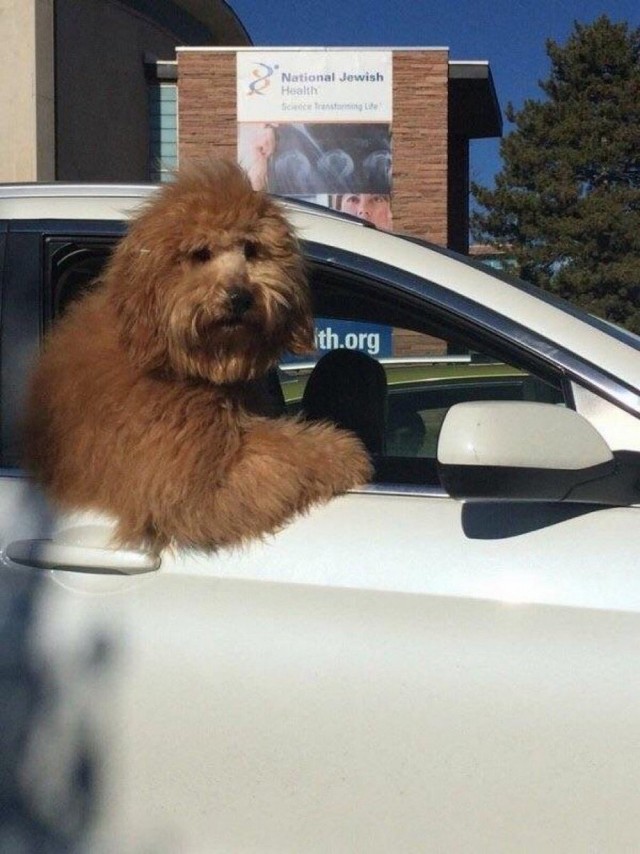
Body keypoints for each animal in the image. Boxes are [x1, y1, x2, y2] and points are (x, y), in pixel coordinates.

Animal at [25, 159, 372, 556]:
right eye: (200, 254)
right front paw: (343, 452)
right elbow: (282, 453)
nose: (239, 297)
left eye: (251, 250)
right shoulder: (187, 486)